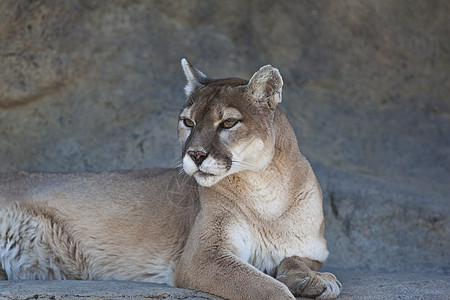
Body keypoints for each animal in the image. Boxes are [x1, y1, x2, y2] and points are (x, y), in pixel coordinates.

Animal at [0, 59, 342, 298]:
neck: (267, 191)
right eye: (188, 122)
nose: (195, 154)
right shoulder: (203, 256)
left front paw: (314, 280)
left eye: (228, 123)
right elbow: (266, 288)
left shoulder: (311, 250)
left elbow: (293, 261)